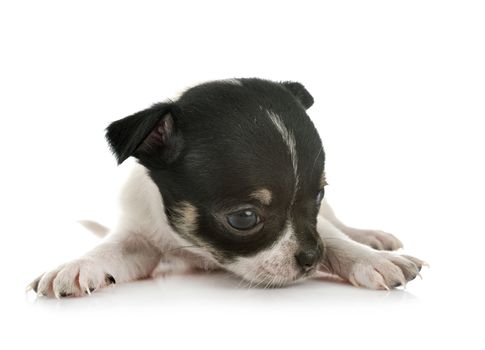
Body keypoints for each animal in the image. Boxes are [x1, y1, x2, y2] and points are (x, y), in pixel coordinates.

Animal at [29, 78, 424, 296]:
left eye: (319, 194)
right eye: (244, 218)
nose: (313, 258)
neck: (195, 249)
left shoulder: (320, 223)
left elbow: (334, 236)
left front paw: (373, 259)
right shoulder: (138, 237)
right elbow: (109, 250)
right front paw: (76, 266)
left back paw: (371, 236)